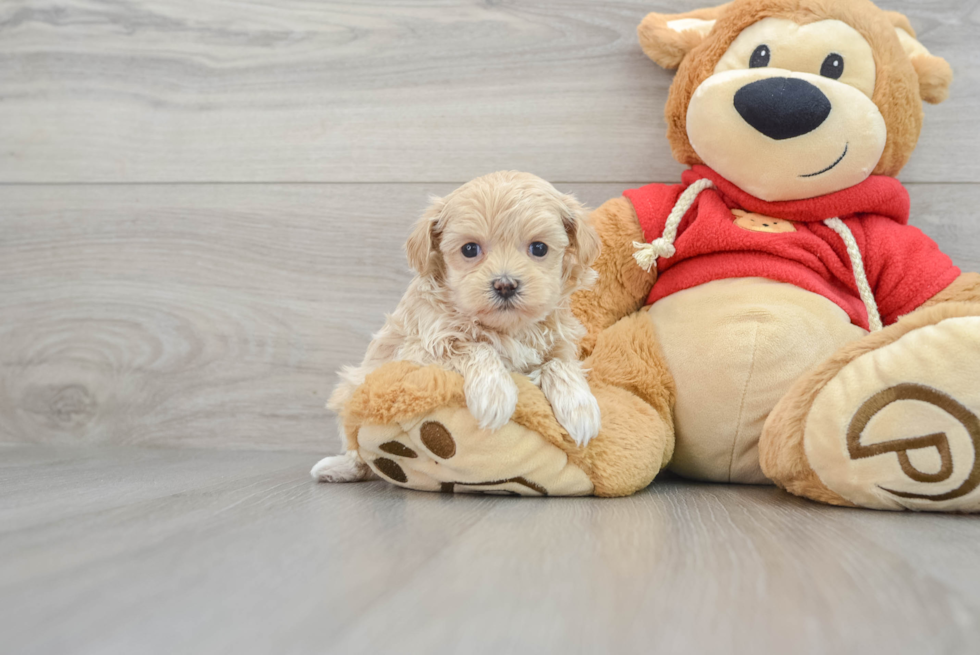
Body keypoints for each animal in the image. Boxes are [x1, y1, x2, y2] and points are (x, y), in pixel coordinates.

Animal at [314, 172, 604, 484]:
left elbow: (560, 364)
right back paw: (339, 467)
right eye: (469, 249)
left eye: (539, 248)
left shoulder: (559, 344)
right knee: (357, 449)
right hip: (352, 388)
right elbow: (474, 347)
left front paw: (580, 409)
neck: (506, 329)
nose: (505, 284)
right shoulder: (418, 350)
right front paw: (495, 394)